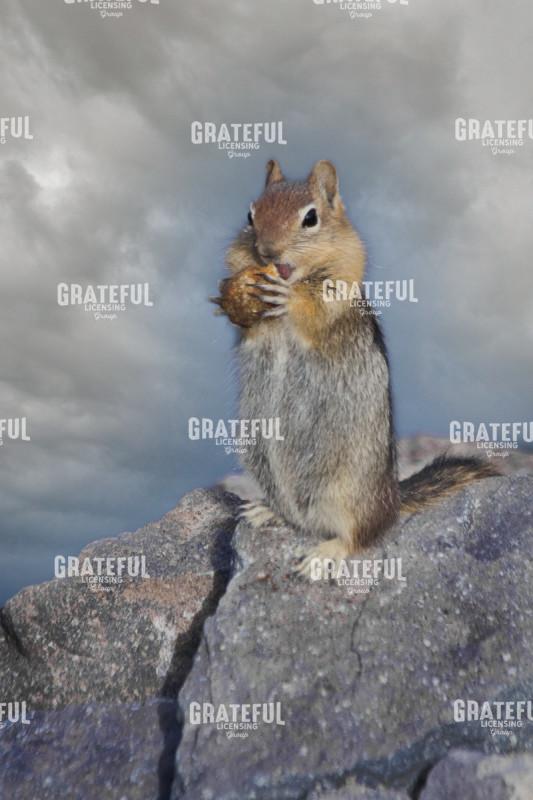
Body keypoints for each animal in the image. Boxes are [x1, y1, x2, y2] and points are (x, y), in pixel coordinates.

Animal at [213, 159, 499, 576]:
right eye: (250, 215)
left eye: (310, 218)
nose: (266, 251)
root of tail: (392, 500)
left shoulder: (339, 287)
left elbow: (314, 311)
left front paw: (287, 297)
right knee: (296, 515)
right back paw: (266, 510)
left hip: (348, 491)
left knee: (360, 536)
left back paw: (323, 554)